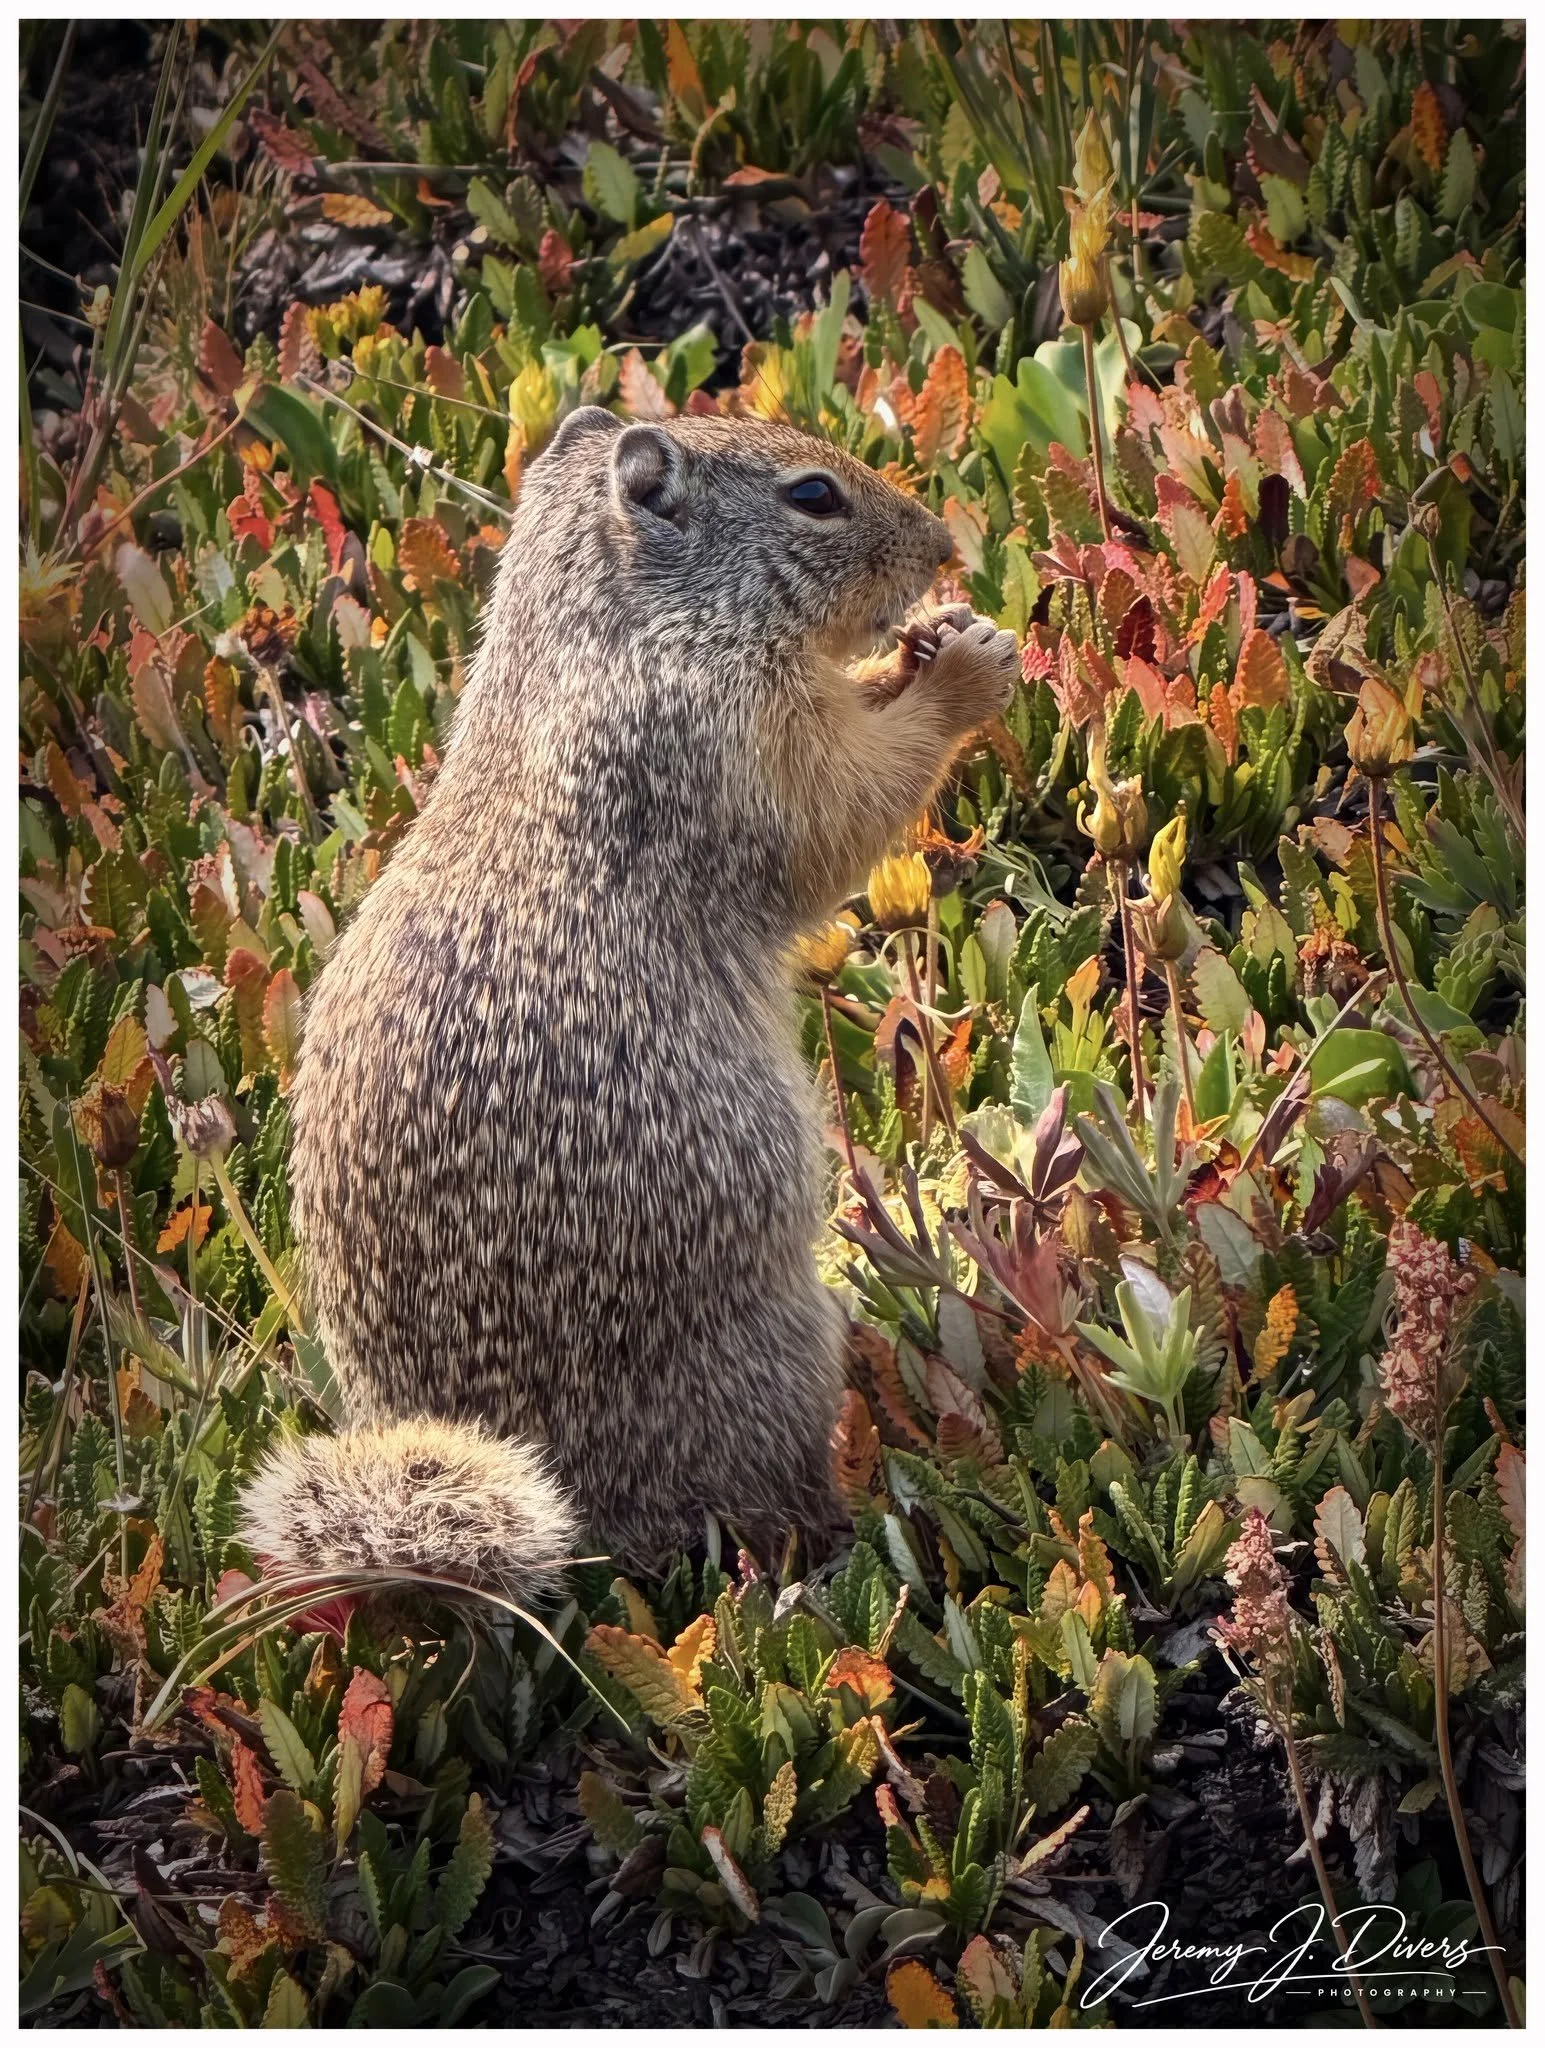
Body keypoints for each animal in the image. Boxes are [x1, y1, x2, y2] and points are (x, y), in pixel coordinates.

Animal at [240, 408, 1018, 1603]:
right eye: (813, 496)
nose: (941, 548)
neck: (604, 630)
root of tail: (584, 1525)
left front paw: (925, 640)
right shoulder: (731, 740)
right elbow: (842, 807)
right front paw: (967, 664)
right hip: (773, 1359)